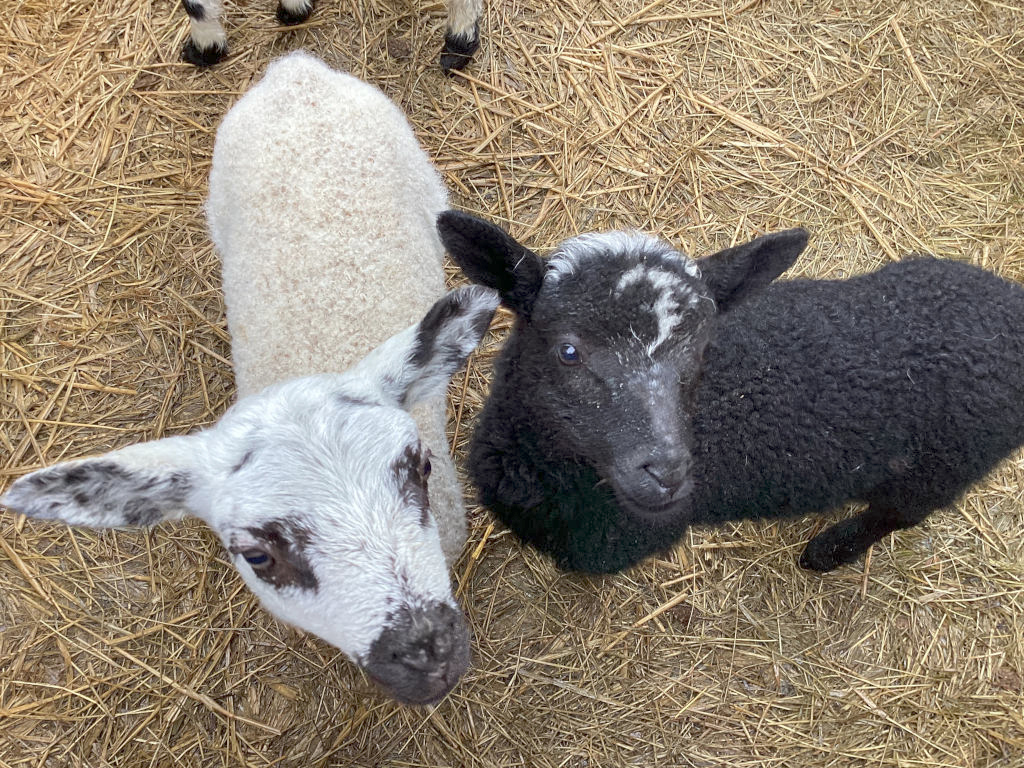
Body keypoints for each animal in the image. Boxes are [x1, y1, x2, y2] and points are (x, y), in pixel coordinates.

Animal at [435, 210, 1024, 574]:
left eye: (699, 354)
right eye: (568, 351)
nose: (668, 475)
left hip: (943, 467)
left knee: (897, 513)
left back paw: (828, 552)